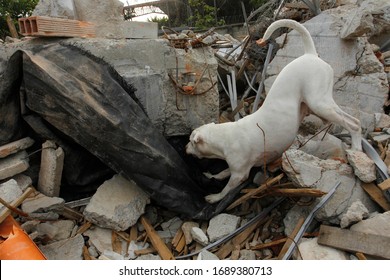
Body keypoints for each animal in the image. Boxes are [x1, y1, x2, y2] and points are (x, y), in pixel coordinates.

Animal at [186, 19, 362, 203]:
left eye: (191, 142)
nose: (184, 147)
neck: (224, 137)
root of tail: (310, 54)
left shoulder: (239, 174)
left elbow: (227, 188)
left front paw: (215, 197)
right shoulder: (235, 168)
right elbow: (224, 172)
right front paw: (214, 175)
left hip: (319, 103)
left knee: (354, 123)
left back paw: (356, 148)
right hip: (315, 105)